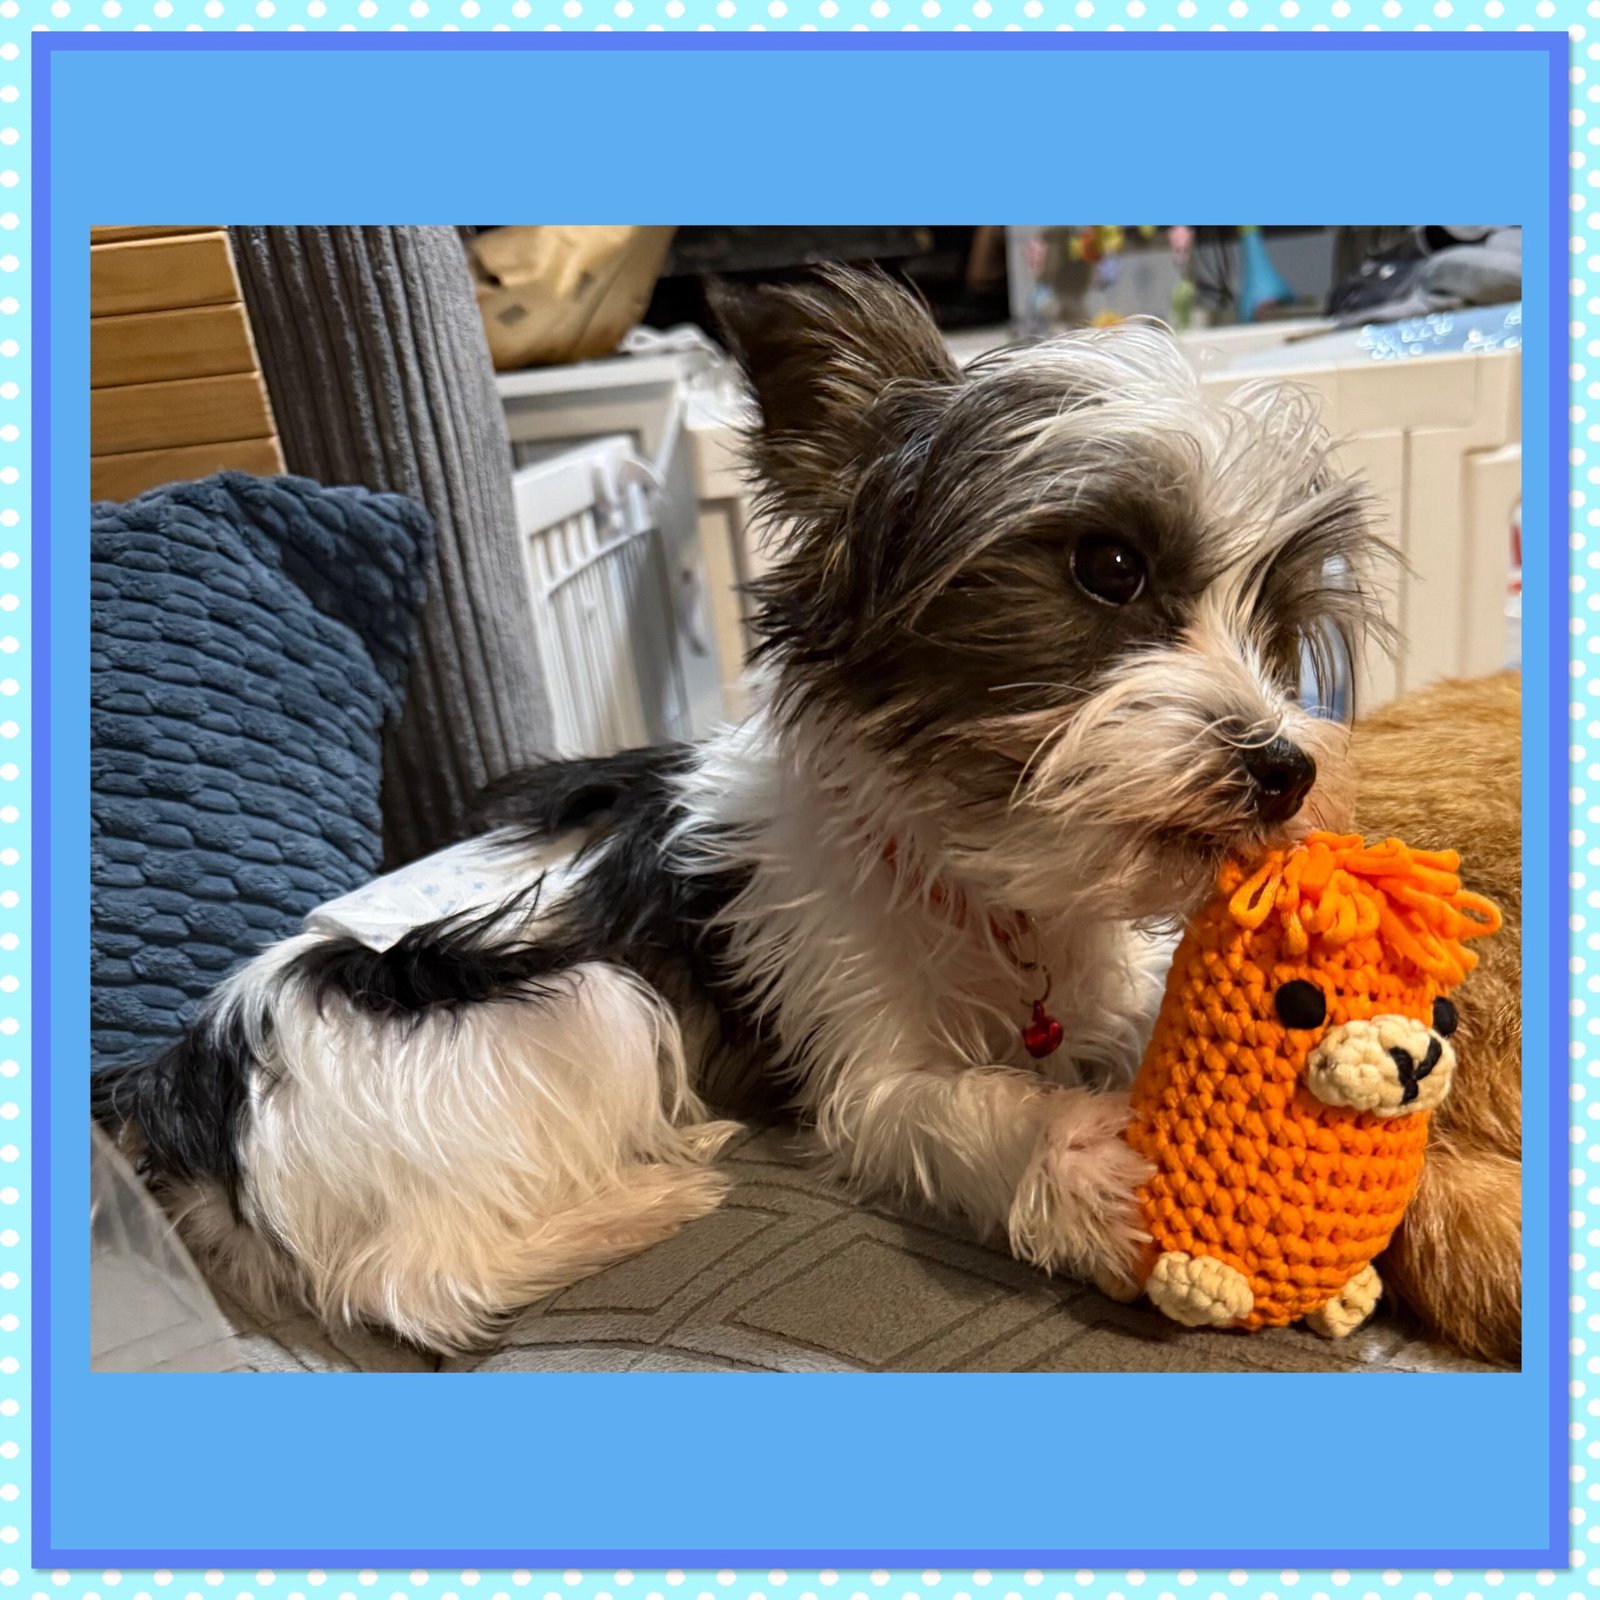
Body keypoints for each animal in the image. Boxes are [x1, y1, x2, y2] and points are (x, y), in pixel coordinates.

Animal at [92, 267, 1392, 1356]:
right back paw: (661, 1184)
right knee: (420, 1282)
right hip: (584, 1000)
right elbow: (950, 1103)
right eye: (1109, 568)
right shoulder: (857, 1062)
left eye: (1277, 625)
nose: (1284, 767)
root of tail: (182, 1109)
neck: (985, 875)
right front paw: (1074, 1160)